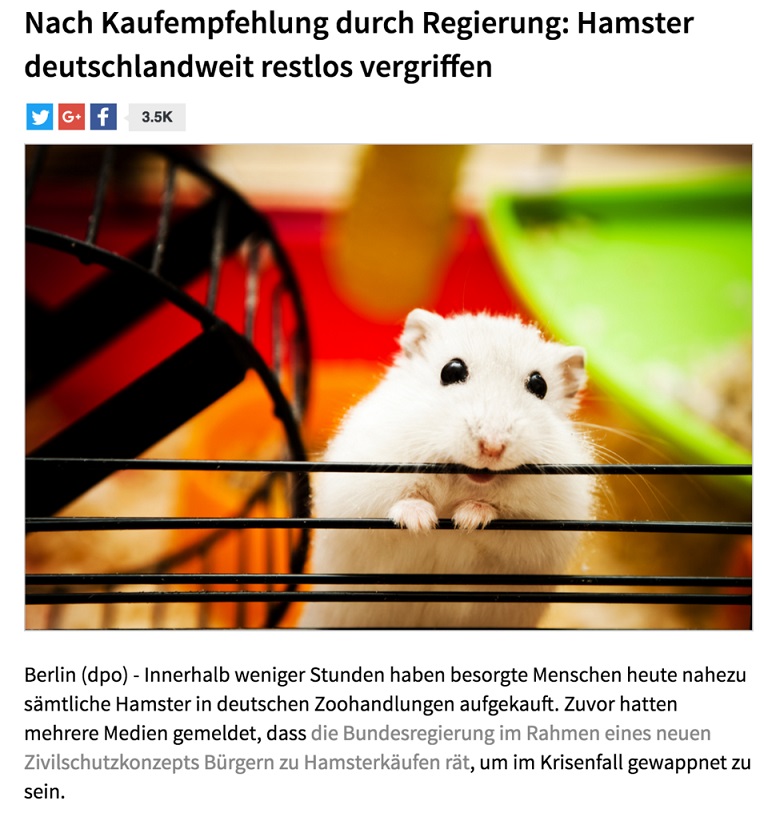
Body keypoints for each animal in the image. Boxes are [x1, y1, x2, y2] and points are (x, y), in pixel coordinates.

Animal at [297, 309, 595, 629]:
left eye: (540, 386)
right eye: (451, 371)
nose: (492, 446)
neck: (461, 480)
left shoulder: (544, 532)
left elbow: (504, 525)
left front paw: (468, 518)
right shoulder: (360, 494)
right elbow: (401, 501)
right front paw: (421, 521)